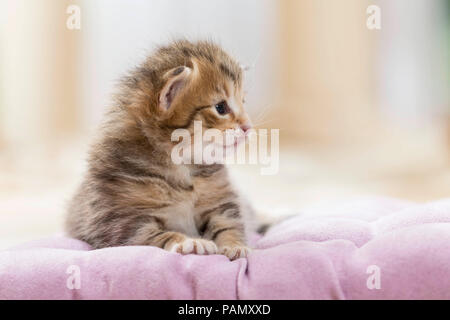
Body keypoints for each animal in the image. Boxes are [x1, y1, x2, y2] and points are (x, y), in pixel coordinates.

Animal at [66, 39, 256, 260]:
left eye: (243, 102)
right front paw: (189, 242)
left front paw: (235, 245)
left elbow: (229, 224)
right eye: (221, 107)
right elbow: (156, 236)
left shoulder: (220, 203)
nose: (248, 127)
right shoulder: (121, 223)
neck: (183, 167)